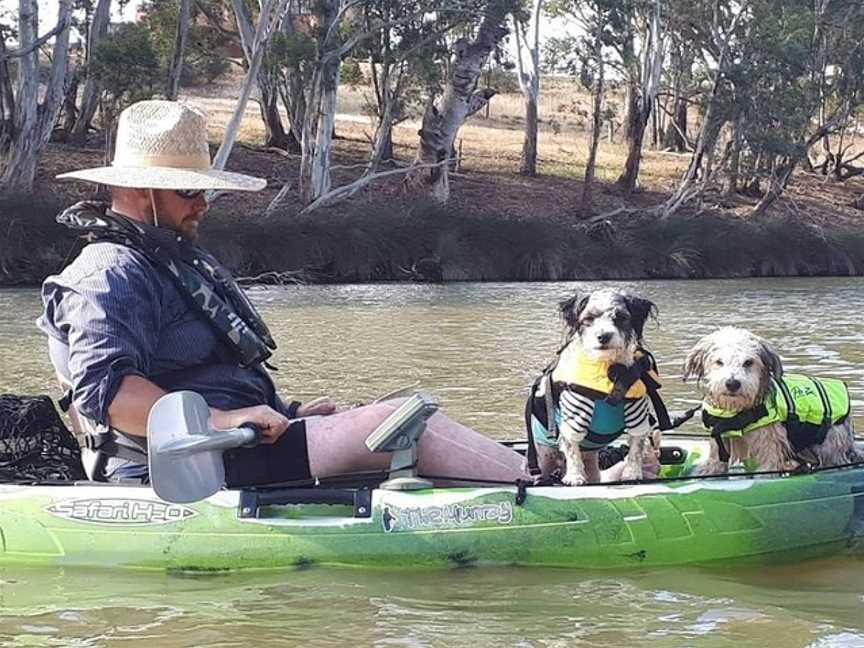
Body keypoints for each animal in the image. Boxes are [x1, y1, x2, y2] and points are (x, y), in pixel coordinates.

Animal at [528, 290, 660, 486]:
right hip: (543, 458)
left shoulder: (636, 413)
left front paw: (633, 473)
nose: (603, 336)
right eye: (588, 318)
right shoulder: (575, 414)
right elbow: (572, 449)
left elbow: (636, 448)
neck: (608, 369)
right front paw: (575, 477)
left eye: (620, 317)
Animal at [680, 326, 856, 474]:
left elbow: (768, 465)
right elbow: (715, 460)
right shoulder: (720, 439)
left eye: (748, 362)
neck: (737, 413)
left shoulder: (770, 441)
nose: (732, 383)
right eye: (719, 362)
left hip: (829, 443)